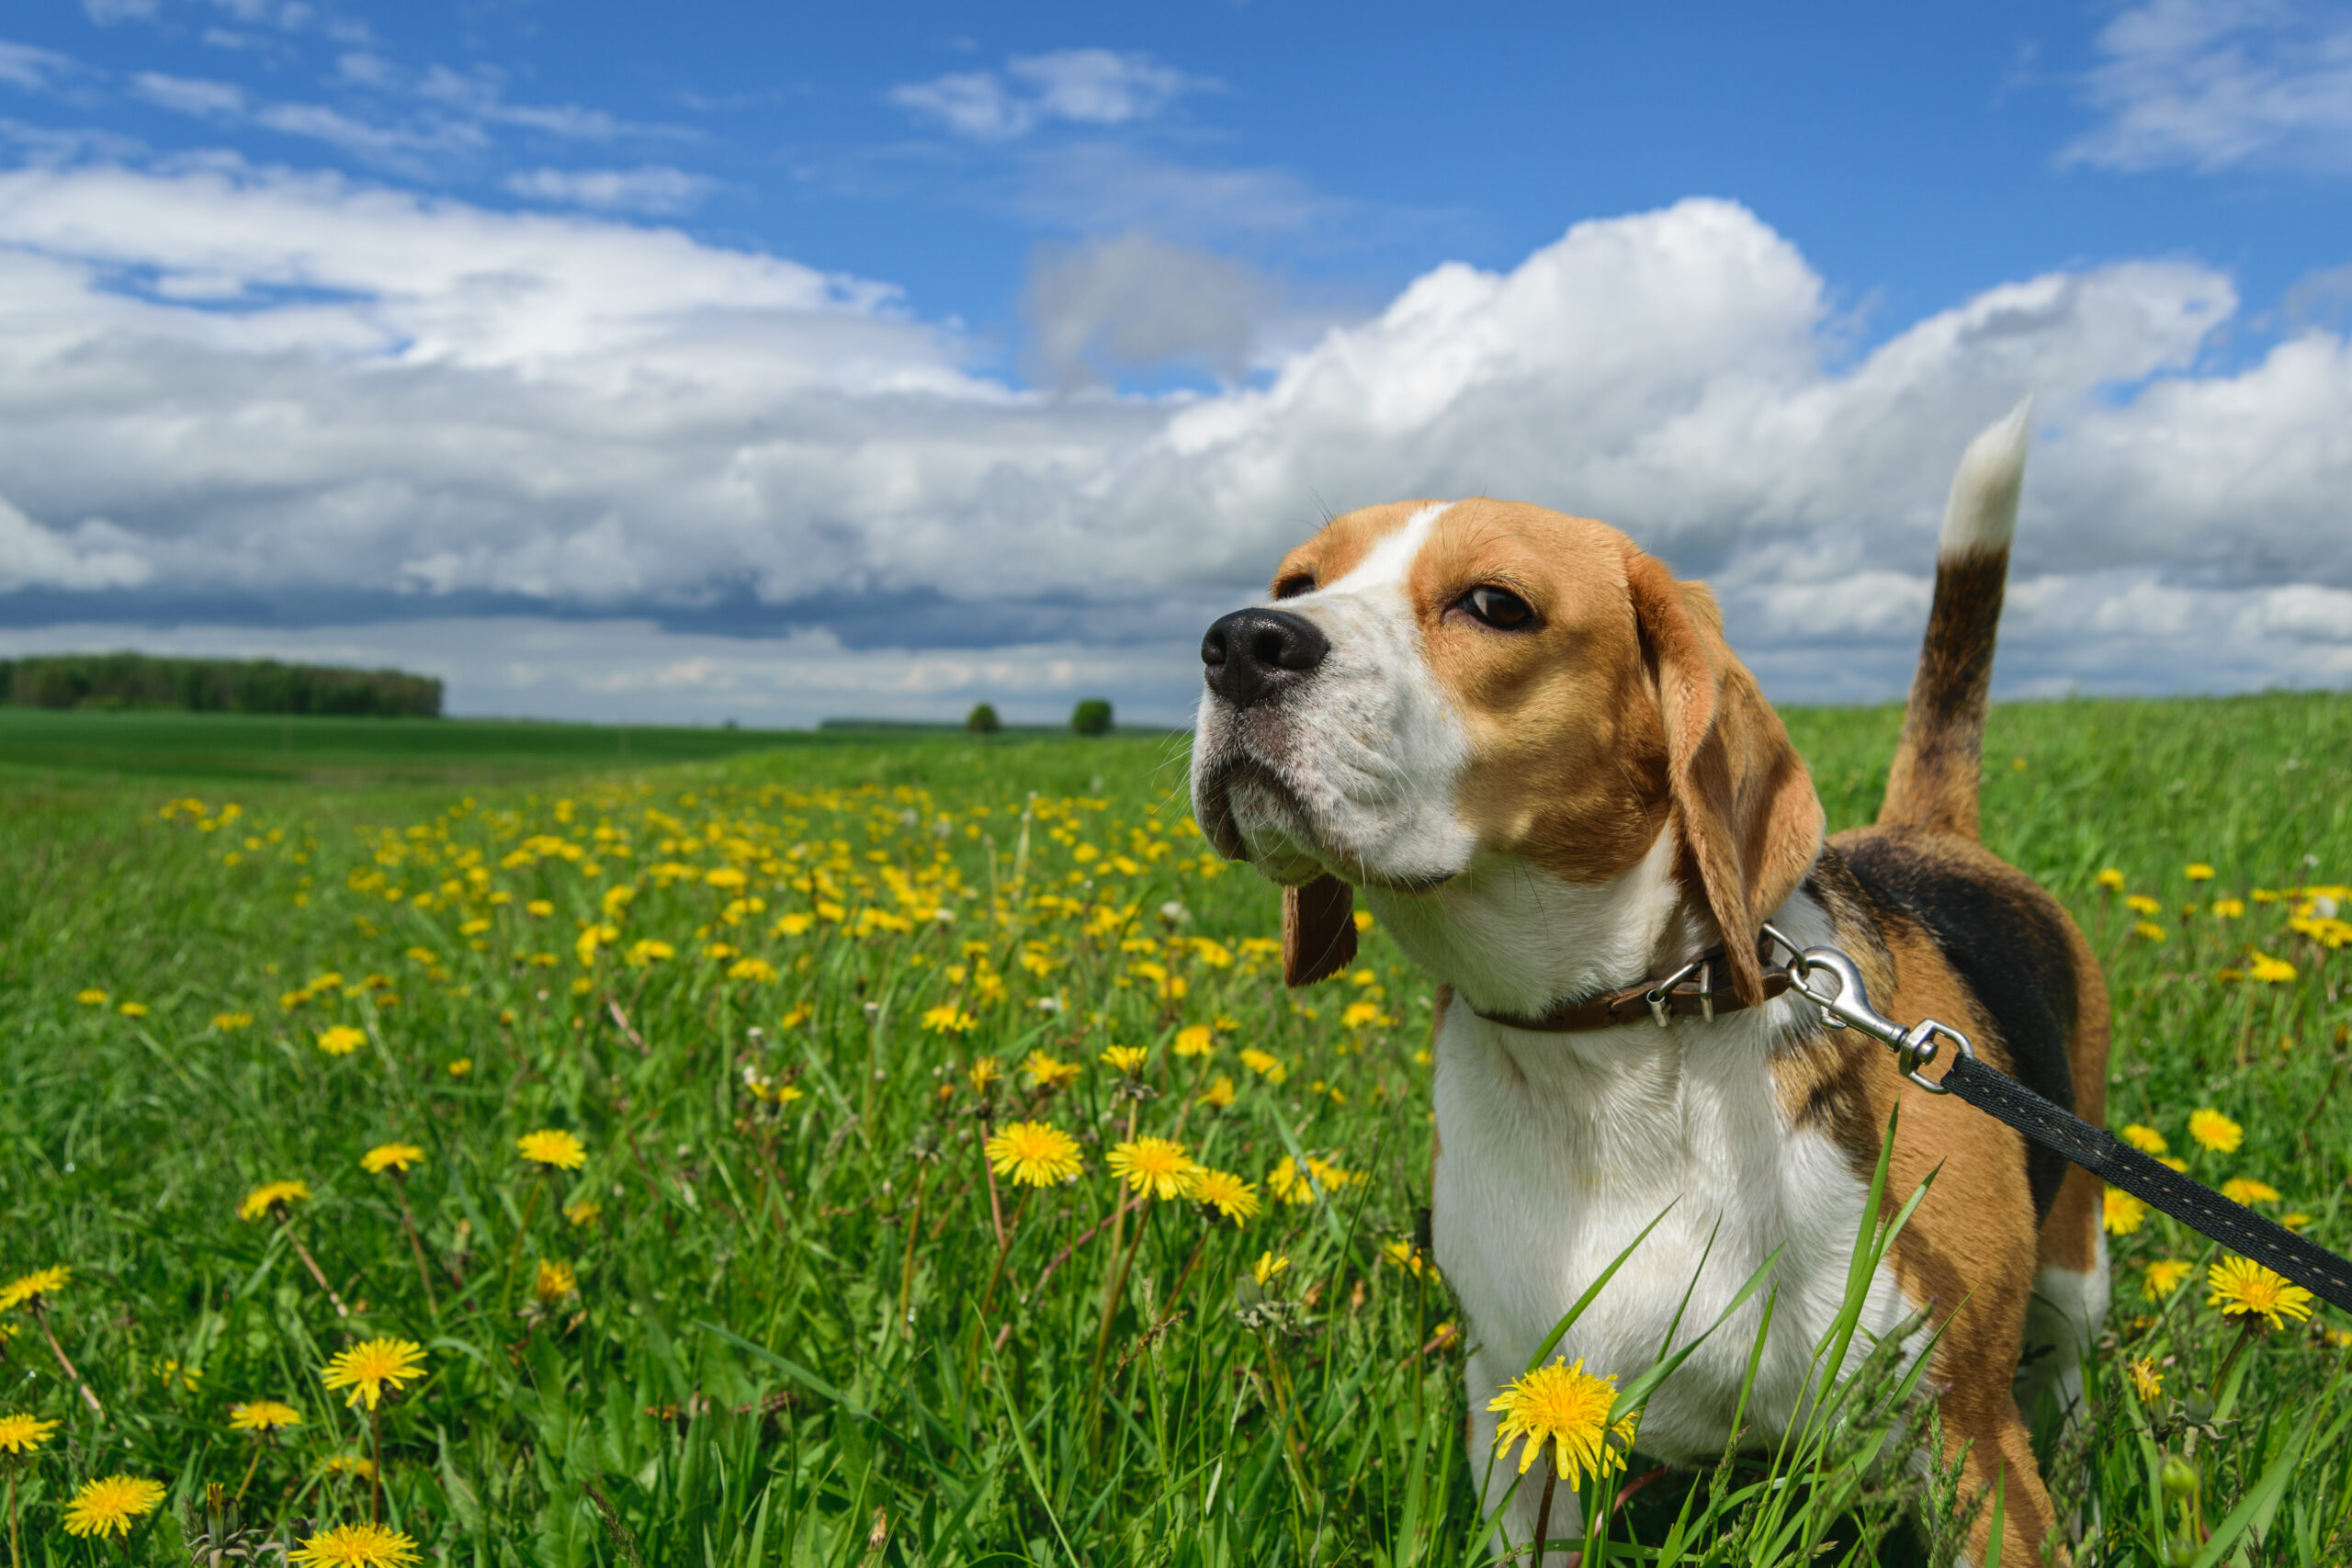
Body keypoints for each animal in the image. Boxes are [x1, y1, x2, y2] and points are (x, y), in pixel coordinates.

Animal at [1194, 409, 2117, 1568]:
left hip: (2076, 1272)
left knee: (2068, 1386)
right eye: (1296, 579)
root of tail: (1927, 834)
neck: (1616, 1045)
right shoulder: (1523, 1423)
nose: (1239, 641)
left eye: (1494, 604)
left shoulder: (1968, 1440)